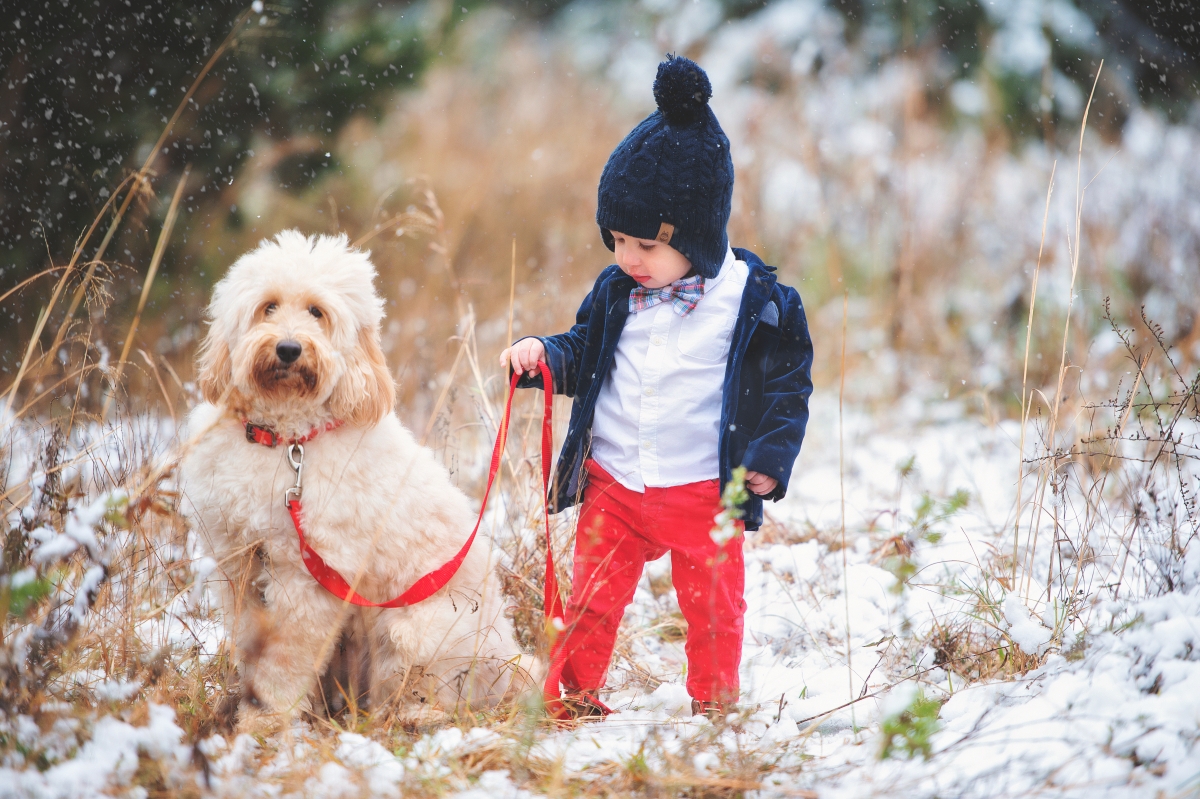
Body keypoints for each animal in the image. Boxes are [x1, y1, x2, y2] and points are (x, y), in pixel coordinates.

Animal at [178, 230, 530, 729]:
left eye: (316, 312)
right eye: (268, 307)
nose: (289, 349)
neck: (286, 440)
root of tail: (515, 662)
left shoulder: (306, 579)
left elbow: (284, 660)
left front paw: (266, 720)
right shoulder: (237, 563)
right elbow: (250, 643)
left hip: (417, 631)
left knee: (436, 693)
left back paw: (412, 715)